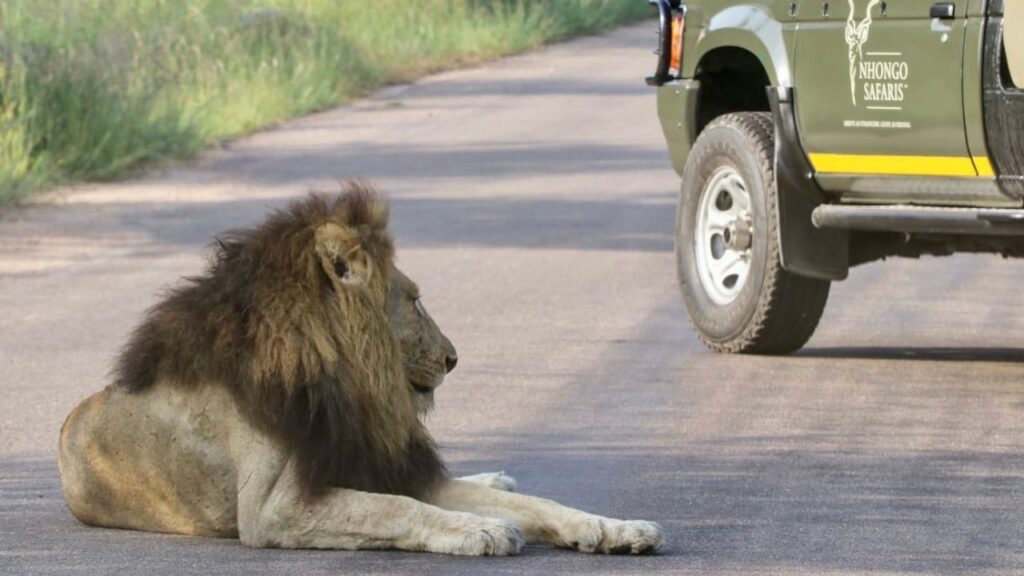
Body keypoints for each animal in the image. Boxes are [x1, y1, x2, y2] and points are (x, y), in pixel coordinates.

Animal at [57, 183, 664, 556]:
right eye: (414, 300)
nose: (453, 358)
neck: (350, 386)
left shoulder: (376, 466)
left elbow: (534, 503)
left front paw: (616, 529)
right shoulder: (275, 508)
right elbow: (394, 509)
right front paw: (481, 529)